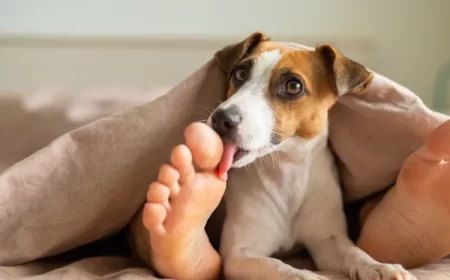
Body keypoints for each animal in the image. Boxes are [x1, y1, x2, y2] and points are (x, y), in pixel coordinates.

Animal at [207, 32, 414, 280]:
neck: (286, 172)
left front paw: (379, 266)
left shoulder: (328, 242)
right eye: (240, 73)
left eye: (293, 86)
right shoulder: (239, 255)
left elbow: (355, 253)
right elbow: (281, 268)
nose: (221, 118)